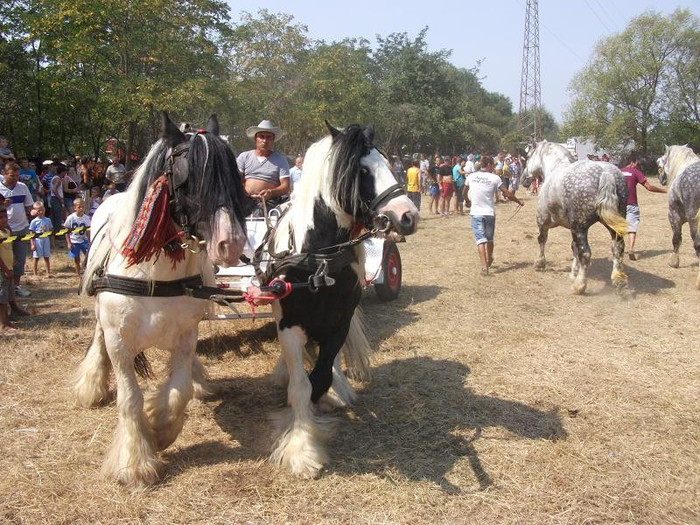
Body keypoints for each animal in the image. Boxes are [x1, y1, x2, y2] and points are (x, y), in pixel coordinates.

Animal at [73, 112, 249, 490]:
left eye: (233, 174)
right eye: (187, 177)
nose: (231, 243)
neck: (154, 274)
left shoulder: (185, 334)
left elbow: (178, 390)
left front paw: (160, 428)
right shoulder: (119, 340)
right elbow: (129, 398)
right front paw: (135, 462)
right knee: (97, 340)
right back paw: (92, 385)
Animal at [260, 122, 418, 474]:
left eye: (388, 164)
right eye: (361, 170)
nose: (408, 216)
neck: (317, 257)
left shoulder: (339, 322)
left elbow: (318, 377)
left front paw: (315, 415)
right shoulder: (289, 324)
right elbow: (301, 386)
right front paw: (302, 448)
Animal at [520, 141, 628, 292]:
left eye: (528, 156)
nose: (523, 179)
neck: (555, 168)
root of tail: (605, 173)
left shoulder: (543, 220)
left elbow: (542, 239)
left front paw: (539, 263)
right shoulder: (572, 228)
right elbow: (574, 247)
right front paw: (574, 272)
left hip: (581, 228)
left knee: (586, 253)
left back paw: (580, 285)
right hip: (613, 226)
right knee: (617, 248)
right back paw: (618, 280)